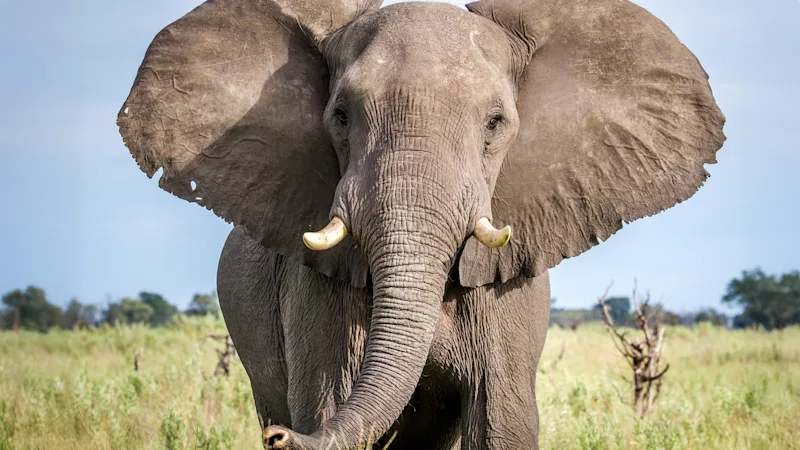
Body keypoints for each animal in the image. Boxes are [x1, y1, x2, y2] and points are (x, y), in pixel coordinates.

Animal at [117, 0, 725, 448]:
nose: (280, 438)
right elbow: (330, 400)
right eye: (340, 116)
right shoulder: (316, 291)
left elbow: (501, 420)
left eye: (495, 122)